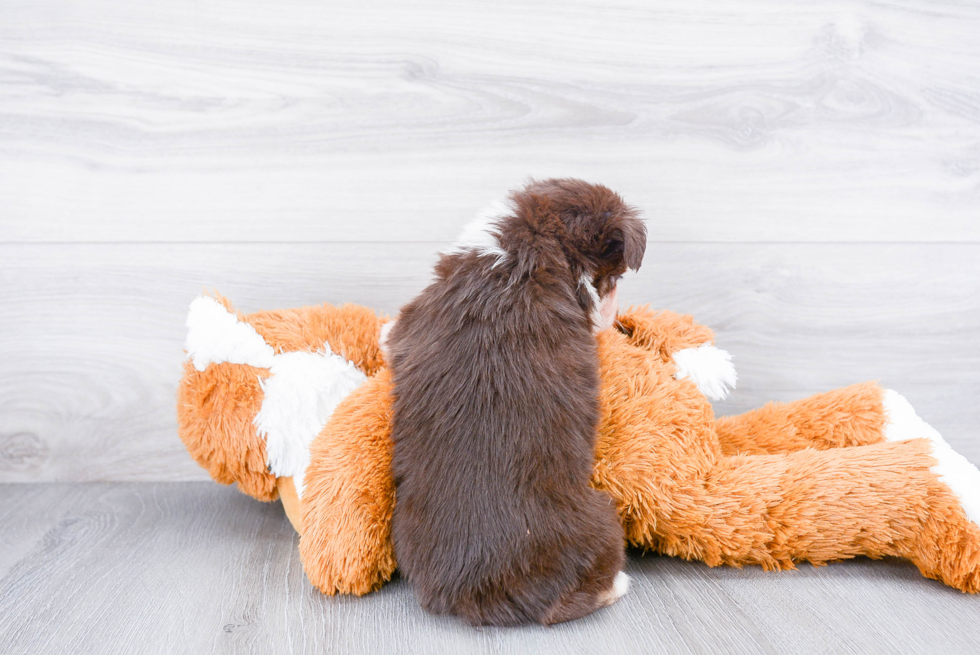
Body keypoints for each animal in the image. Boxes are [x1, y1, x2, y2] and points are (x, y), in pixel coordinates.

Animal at [386, 178, 648, 624]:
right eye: (613, 279)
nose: (616, 316)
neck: (531, 238)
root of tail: (479, 590)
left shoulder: (408, 323)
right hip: (602, 521)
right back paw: (617, 586)